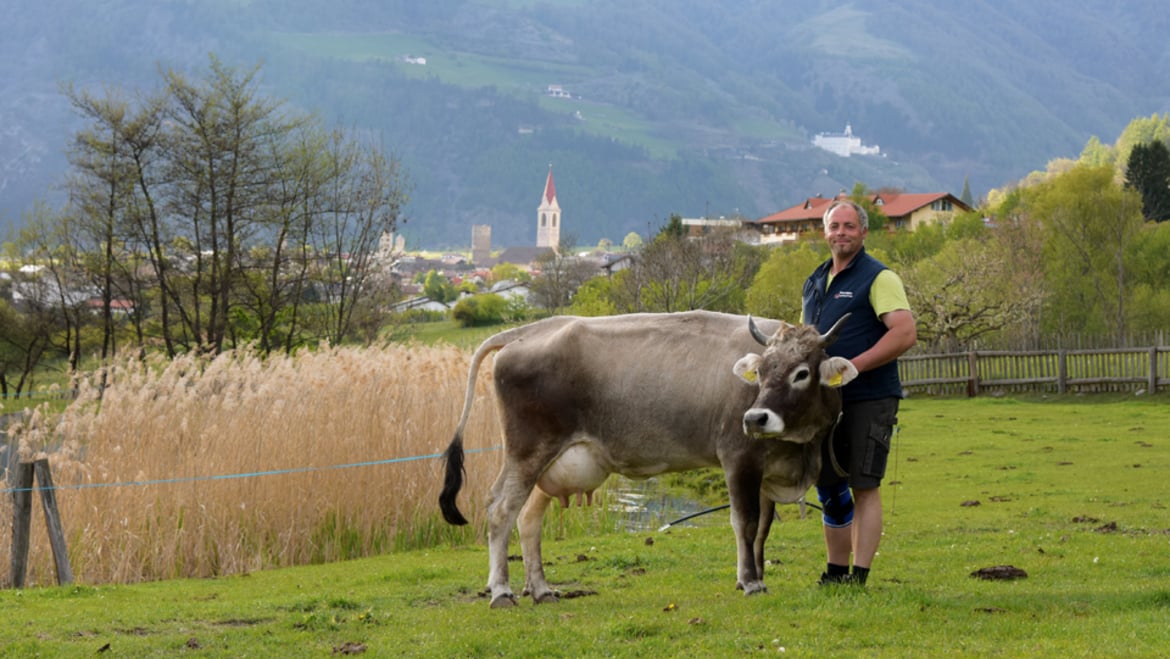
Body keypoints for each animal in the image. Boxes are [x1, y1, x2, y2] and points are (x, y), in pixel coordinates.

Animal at [439, 311, 851, 608]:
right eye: (761, 372)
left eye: (802, 373)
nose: (755, 419)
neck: (800, 450)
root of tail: (525, 332)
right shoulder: (739, 458)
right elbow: (745, 523)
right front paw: (750, 582)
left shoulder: (766, 469)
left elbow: (764, 527)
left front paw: (757, 575)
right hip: (527, 452)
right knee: (500, 510)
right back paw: (501, 592)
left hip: (553, 462)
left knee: (528, 519)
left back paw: (540, 589)